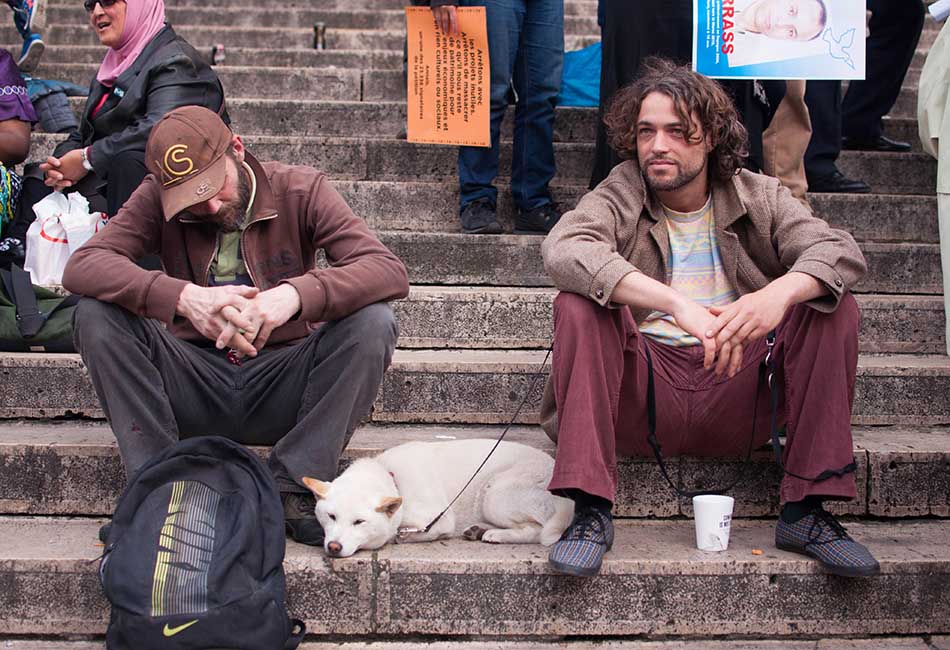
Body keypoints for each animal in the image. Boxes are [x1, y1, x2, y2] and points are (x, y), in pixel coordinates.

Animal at [304, 436, 572, 556]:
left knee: (537, 530)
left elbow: (409, 534)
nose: (334, 547)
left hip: (494, 495)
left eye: (359, 522)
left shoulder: (441, 519)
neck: (392, 477)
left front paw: (399, 536)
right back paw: (480, 530)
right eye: (331, 517)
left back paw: (496, 534)